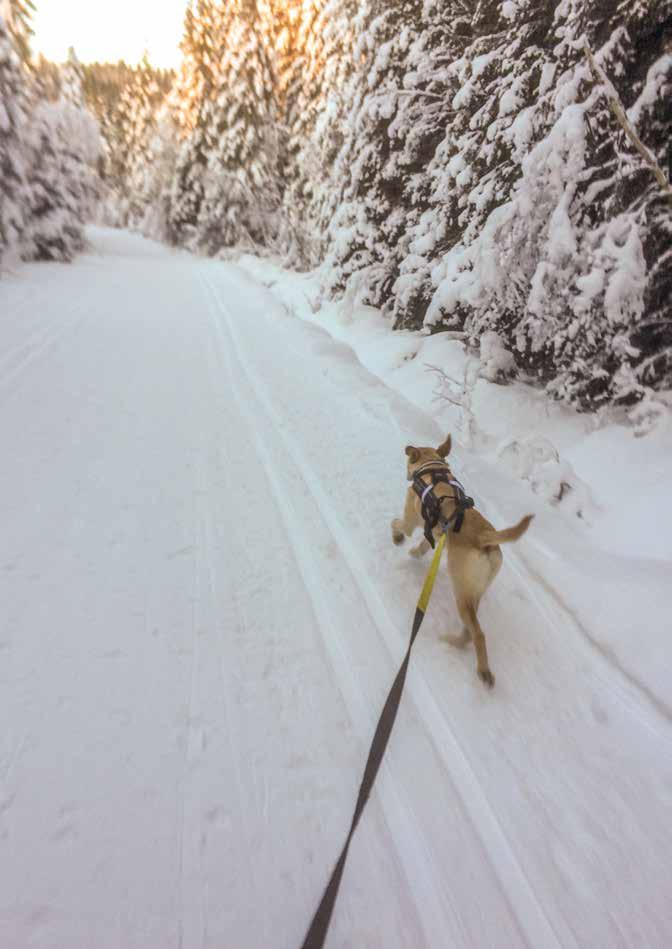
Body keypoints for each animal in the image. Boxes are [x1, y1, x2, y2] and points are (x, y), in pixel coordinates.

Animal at [392, 434, 532, 684]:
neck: (433, 470)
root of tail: (485, 538)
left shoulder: (410, 521)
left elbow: (398, 525)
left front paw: (397, 537)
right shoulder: (433, 535)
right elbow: (422, 546)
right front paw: (414, 553)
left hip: (462, 593)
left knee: (478, 633)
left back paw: (482, 670)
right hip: (474, 591)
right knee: (470, 630)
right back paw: (454, 642)